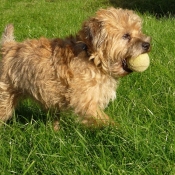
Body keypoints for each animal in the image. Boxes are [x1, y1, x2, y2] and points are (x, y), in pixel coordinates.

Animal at [0, 7, 150, 129]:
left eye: (139, 31)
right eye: (126, 36)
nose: (147, 44)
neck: (91, 57)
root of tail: (7, 46)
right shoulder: (86, 103)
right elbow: (105, 120)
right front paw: (119, 130)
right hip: (5, 97)